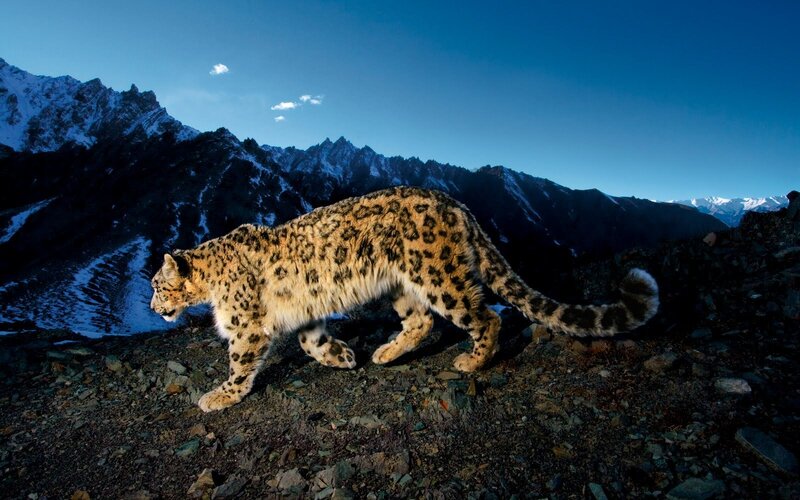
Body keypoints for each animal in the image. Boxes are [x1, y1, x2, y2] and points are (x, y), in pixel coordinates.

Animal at [150, 186, 659, 412]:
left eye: (156, 284)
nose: (153, 307)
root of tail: (457, 204)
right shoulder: (306, 314)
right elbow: (310, 342)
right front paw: (342, 356)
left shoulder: (246, 326)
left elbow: (240, 362)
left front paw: (220, 395)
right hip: (401, 286)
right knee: (421, 322)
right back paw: (383, 353)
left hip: (438, 276)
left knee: (484, 317)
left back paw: (471, 362)